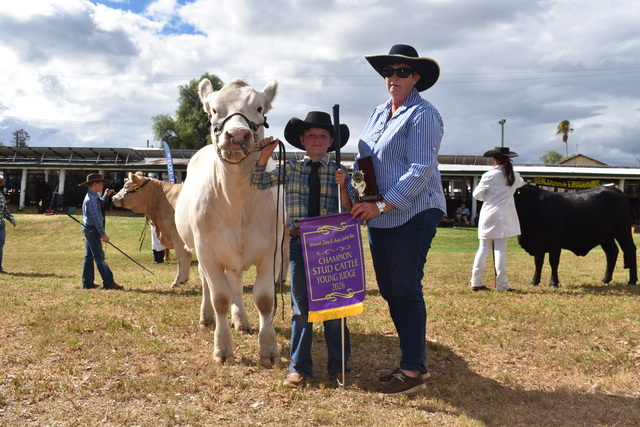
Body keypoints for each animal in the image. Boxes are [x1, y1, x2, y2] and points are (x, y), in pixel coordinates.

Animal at [175, 78, 286, 367]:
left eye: (259, 108)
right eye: (214, 110)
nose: (236, 136)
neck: (238, 199)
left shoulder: (272, 251)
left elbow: (264, 300)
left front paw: (268, 348)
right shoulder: (206, 250)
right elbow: (220, 298)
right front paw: (222, 347)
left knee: (236, 282)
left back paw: (242, 320)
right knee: (208, 285)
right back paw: (207, 317)